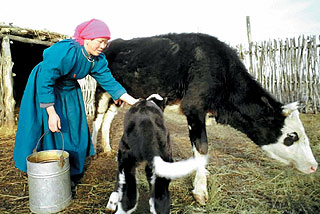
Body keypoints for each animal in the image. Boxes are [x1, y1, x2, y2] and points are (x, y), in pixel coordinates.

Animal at [92, 32, 318, 205]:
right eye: (292, 136)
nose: (314, 166)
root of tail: (115, 42)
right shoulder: (194, 108)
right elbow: (202, 147)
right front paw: (201, 191)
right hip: (101, 88)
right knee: (97, 118)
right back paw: (94, 150)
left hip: (117, 95)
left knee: (108, 119)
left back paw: (108, 148)